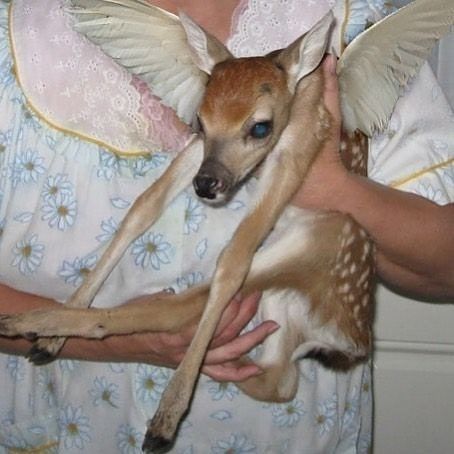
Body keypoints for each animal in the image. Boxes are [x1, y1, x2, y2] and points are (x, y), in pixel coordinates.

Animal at [0, 0, 450, 452]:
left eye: (260, 126)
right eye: (199, 121)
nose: (207, 185)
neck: (302, 97)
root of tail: (351, 339)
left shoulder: (296, 155)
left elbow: (232, 259)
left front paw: (168, 414)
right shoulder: (201, 151)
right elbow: (142, 209)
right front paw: (57, 335)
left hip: (305, 249)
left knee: (181, 308)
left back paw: (35, 326)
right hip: (280, 306)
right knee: (280, 378)